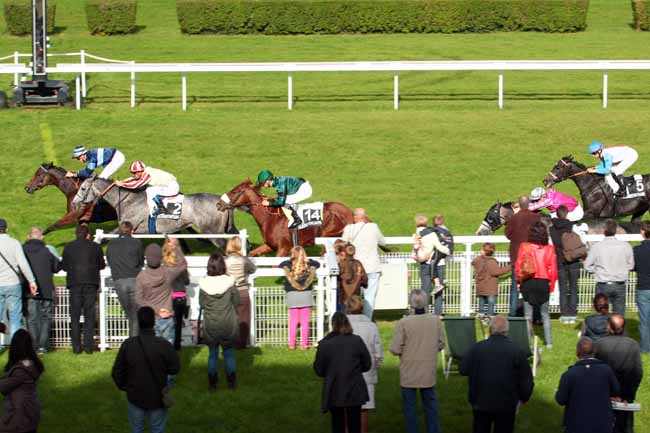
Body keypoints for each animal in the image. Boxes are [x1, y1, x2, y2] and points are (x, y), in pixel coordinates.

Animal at [71, 177, 237, 246]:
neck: (127, 199)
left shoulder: (129, 226)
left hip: (214, 233)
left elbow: (107, 236)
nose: (74, 203)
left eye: (83, 189)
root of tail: (222, 202)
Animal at [215, 179, 353, 256]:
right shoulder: (270, 245)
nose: (219, 204)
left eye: (234, 191)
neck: (268, 218)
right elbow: (253, 253)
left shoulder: (284, 248)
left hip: (329, 236)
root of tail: (348, 212)